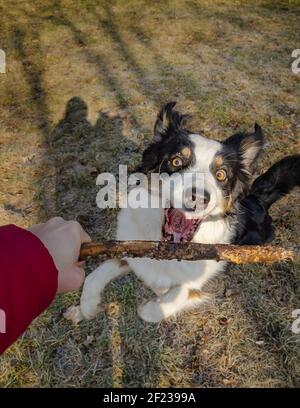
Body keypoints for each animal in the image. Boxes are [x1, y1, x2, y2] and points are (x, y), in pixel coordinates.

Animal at [80, 101, 300, 322]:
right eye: (176, 161)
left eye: (221, 175)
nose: (198, 198)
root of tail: (257, 197)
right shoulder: (130, 249)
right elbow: (95, 273)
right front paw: (88, 305)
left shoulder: (201, 280)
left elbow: (169, 299)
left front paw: (150, 305)